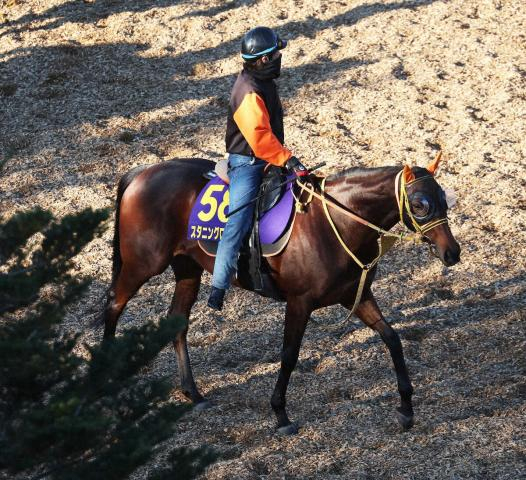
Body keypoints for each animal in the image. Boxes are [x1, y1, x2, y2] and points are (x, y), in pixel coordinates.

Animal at [102, 155, 462, 436]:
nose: (452, 252)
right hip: (143, 263)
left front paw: (406, 408)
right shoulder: (299, 302)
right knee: (114, 304)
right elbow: (289, 355)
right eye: (420, 204)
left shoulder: (356, 296)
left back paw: (193, 392)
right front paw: (281, 414)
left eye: (445, 199)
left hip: (187, 268)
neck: (335, 223)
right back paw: (107, 384)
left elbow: (392, 339)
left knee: (177, 322)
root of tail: (141, 172)